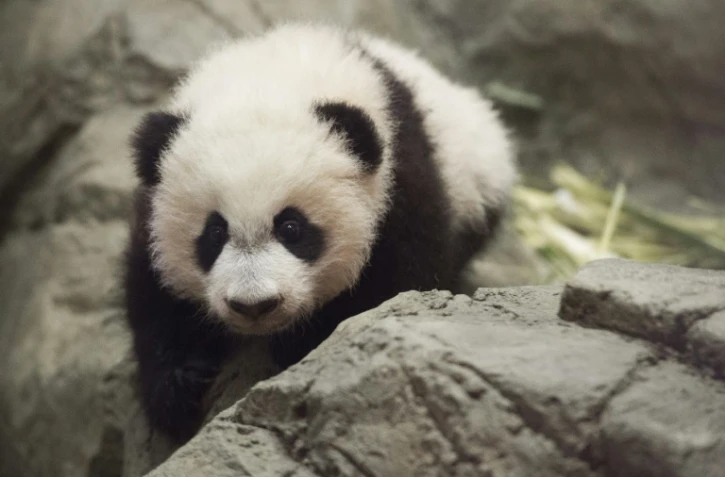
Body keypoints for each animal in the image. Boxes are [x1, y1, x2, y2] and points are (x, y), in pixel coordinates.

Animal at [124, 22, 517, 443]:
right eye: (214, 233)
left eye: (291, 228)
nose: (254, 305)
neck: (268, 79)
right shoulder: (153, 204)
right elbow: (153, 291)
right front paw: (180, 386)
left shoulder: (402, 180)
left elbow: (401, 278)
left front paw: (300, 345)